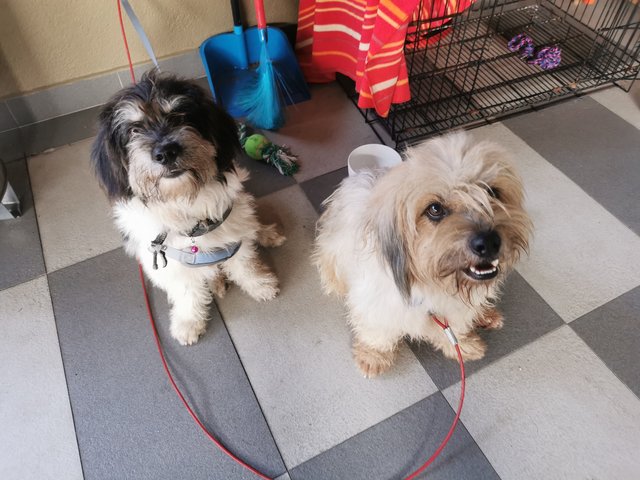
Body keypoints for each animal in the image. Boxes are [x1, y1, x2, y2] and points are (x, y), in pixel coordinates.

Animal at [92, 69, 284, 344]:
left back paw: (268, 234)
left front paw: (260, 285)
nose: (166, 152)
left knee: (252, 225)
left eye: (180, 116)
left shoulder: (232, 233)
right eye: (134, 129)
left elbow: (244, 264)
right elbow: (186, 292)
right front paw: (189, 322)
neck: (184, 201)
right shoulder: (168, 262)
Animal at [314, 132, 528, 378]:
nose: (489, 242)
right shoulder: (375, 303)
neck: (435, 285)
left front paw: (463, 345)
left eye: (492, 192)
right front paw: (373, 355)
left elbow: (455, 327)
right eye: (435, 209)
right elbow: (376, 333)